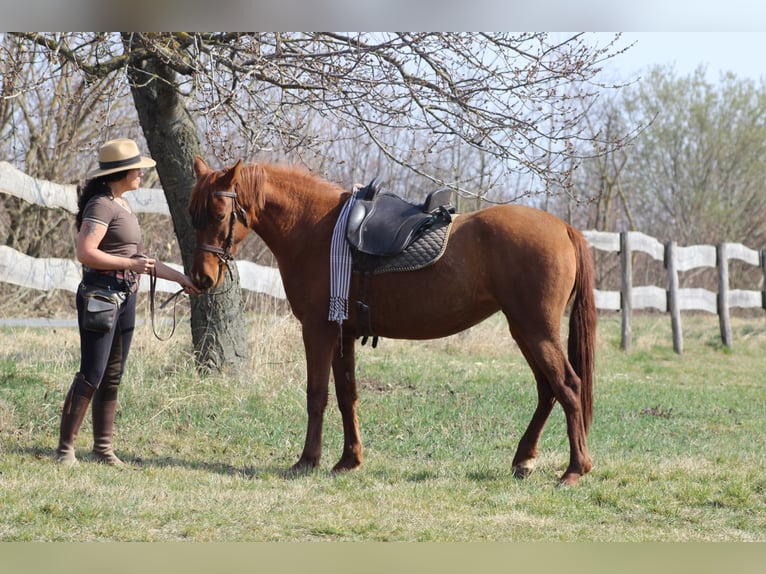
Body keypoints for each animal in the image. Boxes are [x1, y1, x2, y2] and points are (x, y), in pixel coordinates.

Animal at [189, 156, 596, 486]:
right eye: (195, 215)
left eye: (219, 215)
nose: (202, 278)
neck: (317, 229)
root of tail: (564, 229)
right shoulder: (343, 334)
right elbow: (347, 395)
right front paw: (348, 460)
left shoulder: (318, 330)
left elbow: (317, 395)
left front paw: (307, 461)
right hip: (523, 330)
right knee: (547, 391)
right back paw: (524, 459)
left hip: (536, 331)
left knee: (569, 387)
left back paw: (575, 470)